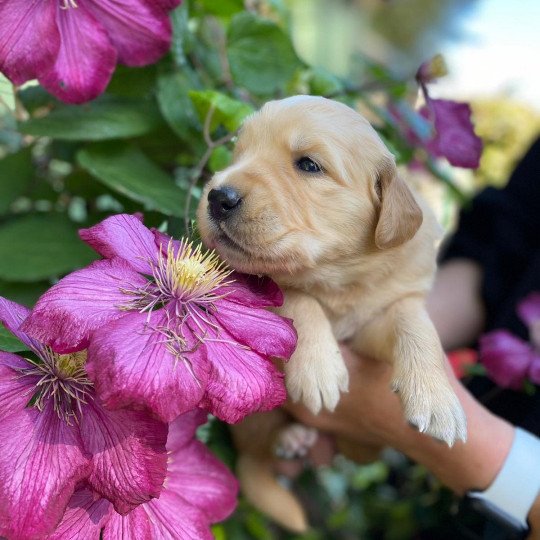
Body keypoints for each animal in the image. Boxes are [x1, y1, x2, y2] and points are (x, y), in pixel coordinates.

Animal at [196, 95, 466, 528]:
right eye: (240, 151)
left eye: (308, 165)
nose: (217, 197)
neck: (338, 279)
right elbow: (297, 296)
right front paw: (317, 367)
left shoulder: (379, 317)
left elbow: (414, 320)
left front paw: (437, 398)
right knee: (257, 444)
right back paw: (291, 437)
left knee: (360, 452)